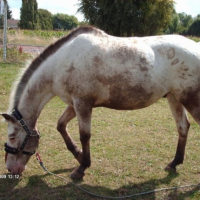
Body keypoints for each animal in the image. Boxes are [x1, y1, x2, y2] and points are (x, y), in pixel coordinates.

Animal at [1, 25, 200, 179]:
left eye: (12, 137)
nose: (10, 169)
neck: (60, 63)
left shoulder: (82, 103)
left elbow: (84, 135)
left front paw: (81, 168)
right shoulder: (73, 104)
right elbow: (60, 125)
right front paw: (79, 155)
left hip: (190, 99)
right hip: (174, 98)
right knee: (183, 127)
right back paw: (174, 163)